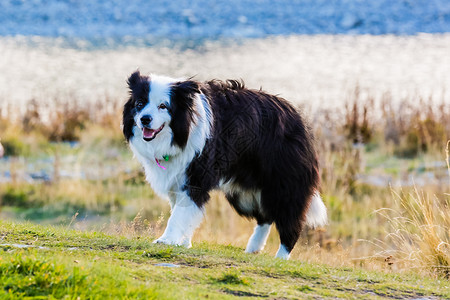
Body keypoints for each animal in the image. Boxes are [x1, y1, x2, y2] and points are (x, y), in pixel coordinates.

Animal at [122, 70, 326, 258]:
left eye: (163, 106)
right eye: (140, 104)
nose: (145, 119)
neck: (181, 131)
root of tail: (298, 117)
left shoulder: (196, 175)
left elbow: (179, 214)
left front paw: (166, 240)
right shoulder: (177, 178)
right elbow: (182, 212)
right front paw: (183, 243)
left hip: (283, 182)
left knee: (289, 219)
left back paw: (281, 257)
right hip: (243, 191)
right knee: (266, 216)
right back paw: (253, 248)